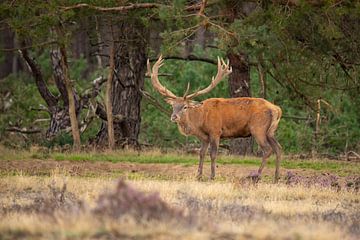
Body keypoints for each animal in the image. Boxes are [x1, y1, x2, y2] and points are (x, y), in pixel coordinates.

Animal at [148, 55, 282, 182]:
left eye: (185, 106)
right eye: (173, 106)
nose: (174, 116)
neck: (200, 122)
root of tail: (277, 109)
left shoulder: (215, 131)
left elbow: (213, 154)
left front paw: (212, 176)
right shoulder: (204, 137)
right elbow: (201, 153)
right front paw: (198, 176)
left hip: (258, 128)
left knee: (267, 150)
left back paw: (257, 176)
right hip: (270, 132)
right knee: (278, 148)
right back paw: (276, 177)